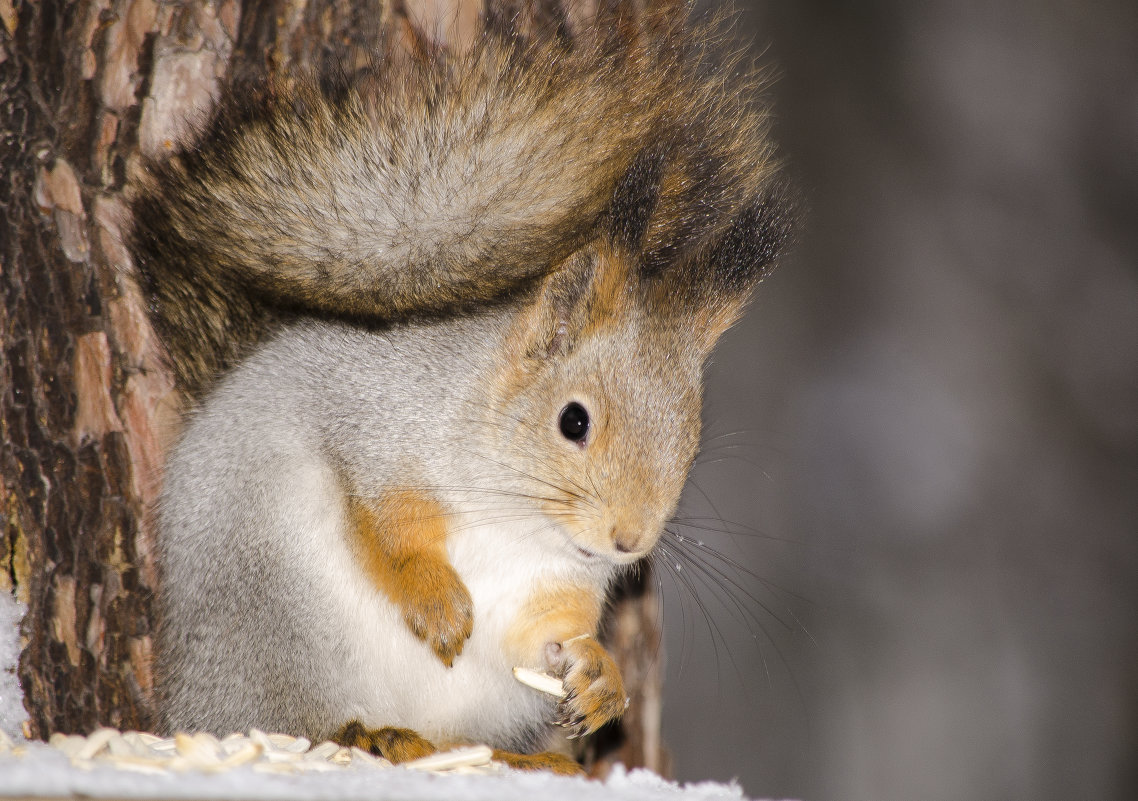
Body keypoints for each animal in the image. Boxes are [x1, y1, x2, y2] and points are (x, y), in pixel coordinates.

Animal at [126, 0, 792, 773]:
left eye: (690, 442)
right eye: (573, 421)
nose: (629, 542)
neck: (517, 514)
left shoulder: (550, 585)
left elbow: (548, 635)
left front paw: (600, 673)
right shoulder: (373, 416)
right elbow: (384, 516)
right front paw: (436, 599)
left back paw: (523, 758)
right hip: (275, 618)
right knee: (281, 717)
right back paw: (365, 733)